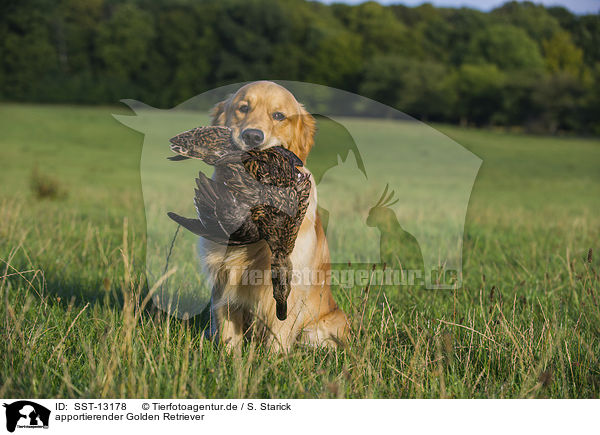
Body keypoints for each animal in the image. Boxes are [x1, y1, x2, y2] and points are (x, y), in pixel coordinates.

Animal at [202, 82, 350, 352]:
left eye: (279, 115)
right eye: (243, 108)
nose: (252, 136)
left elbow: (278, 335)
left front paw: (272, 360)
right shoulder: (222, 278)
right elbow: (227, 329)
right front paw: (228, 357)